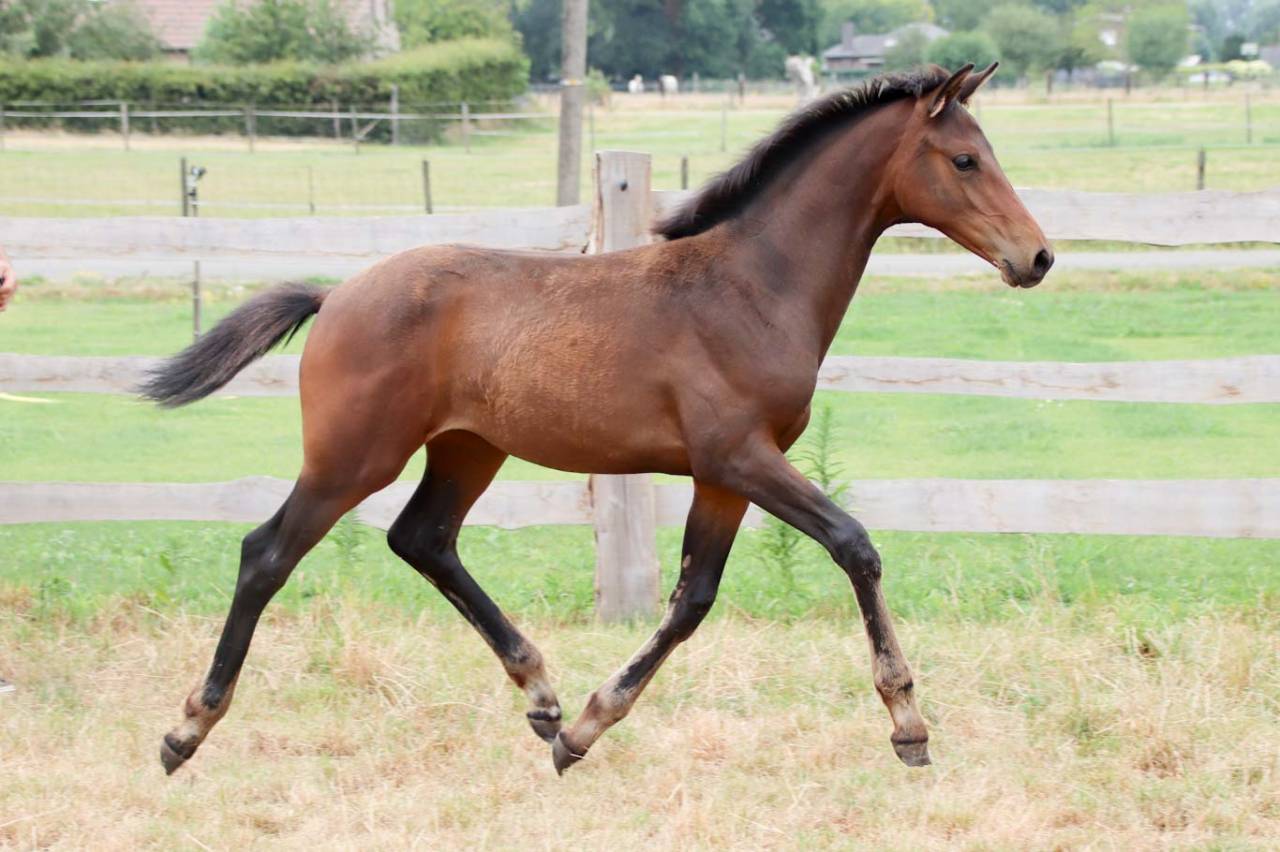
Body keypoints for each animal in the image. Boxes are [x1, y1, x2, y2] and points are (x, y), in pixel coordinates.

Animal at [143, 63, 1051, 777]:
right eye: (965, 158)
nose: (1037, 257)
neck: (752, 286)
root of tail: (334, 297)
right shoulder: (742, 456)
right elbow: (853, 545)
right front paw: (909, 725)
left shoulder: (724, 476)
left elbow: (691, 599)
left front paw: (581, 730)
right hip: (353, 456)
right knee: (267, 554)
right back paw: (187, 729)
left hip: (468, 449)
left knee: (423, 539)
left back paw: (541, 694)